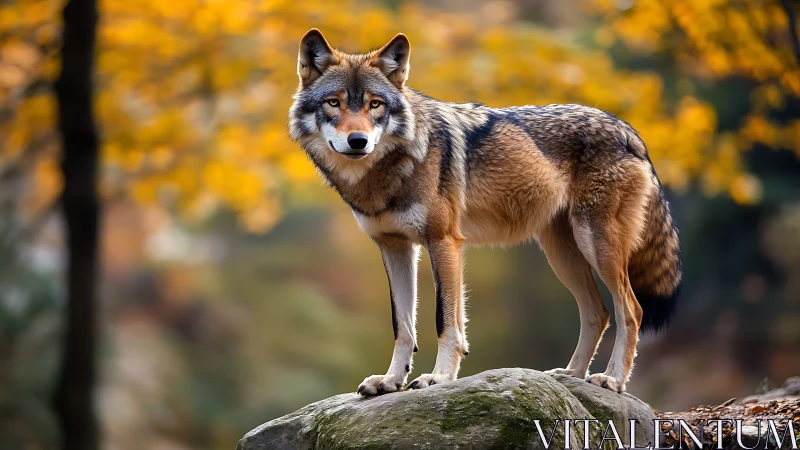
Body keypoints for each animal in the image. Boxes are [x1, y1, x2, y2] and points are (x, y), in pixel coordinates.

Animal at [288, 29, 682, 395]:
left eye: (374, 105)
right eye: (334, 102)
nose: (358, 141)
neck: (391, 170)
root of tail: (630, 131)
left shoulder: (444, 241)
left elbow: (444, 320)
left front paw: (438, 378)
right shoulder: (395, 248)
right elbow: (403, 326)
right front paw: (390, 381)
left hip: (596, 246)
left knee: (631, 310)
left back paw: (612, 380)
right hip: (562, 254)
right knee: (598, 312)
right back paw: (571, 374)